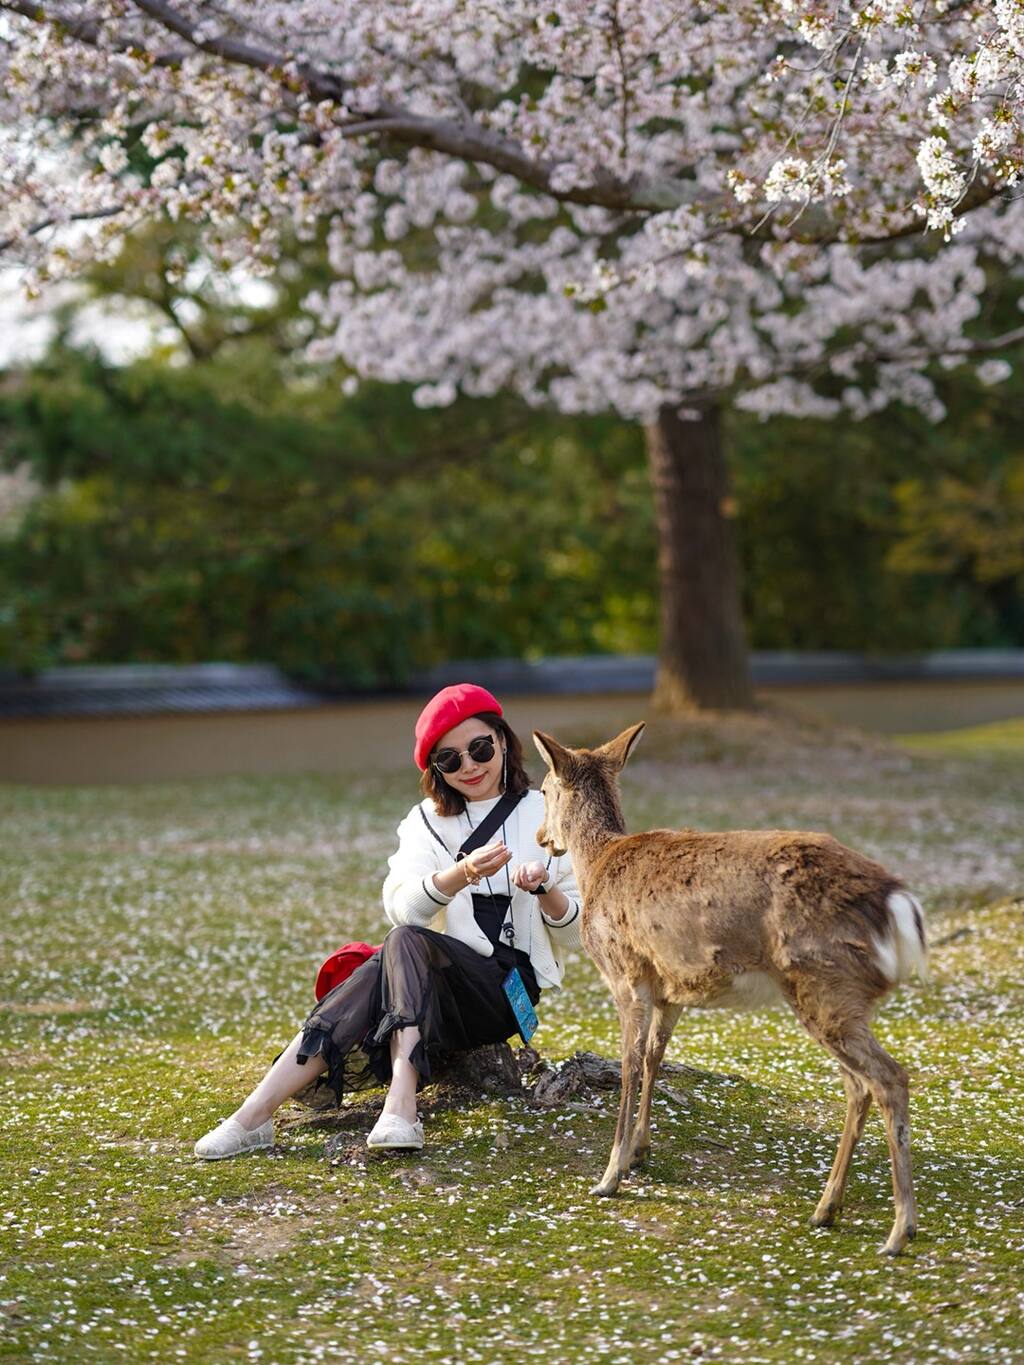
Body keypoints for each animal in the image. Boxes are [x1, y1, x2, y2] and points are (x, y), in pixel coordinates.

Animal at [537, 726, 928, 1255]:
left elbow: (629, 1065)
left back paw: (899, 1231)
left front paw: (610, 1176)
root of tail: (898, 902)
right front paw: (640, 1151)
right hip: (833, 995)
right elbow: (655, 1057)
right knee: (858, 1084)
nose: (540, 838)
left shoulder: (625, 973)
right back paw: (826, 1210)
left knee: (889, 1078)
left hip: (825, 982)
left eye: (542, 789)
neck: (596, 864)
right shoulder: (670, 989)